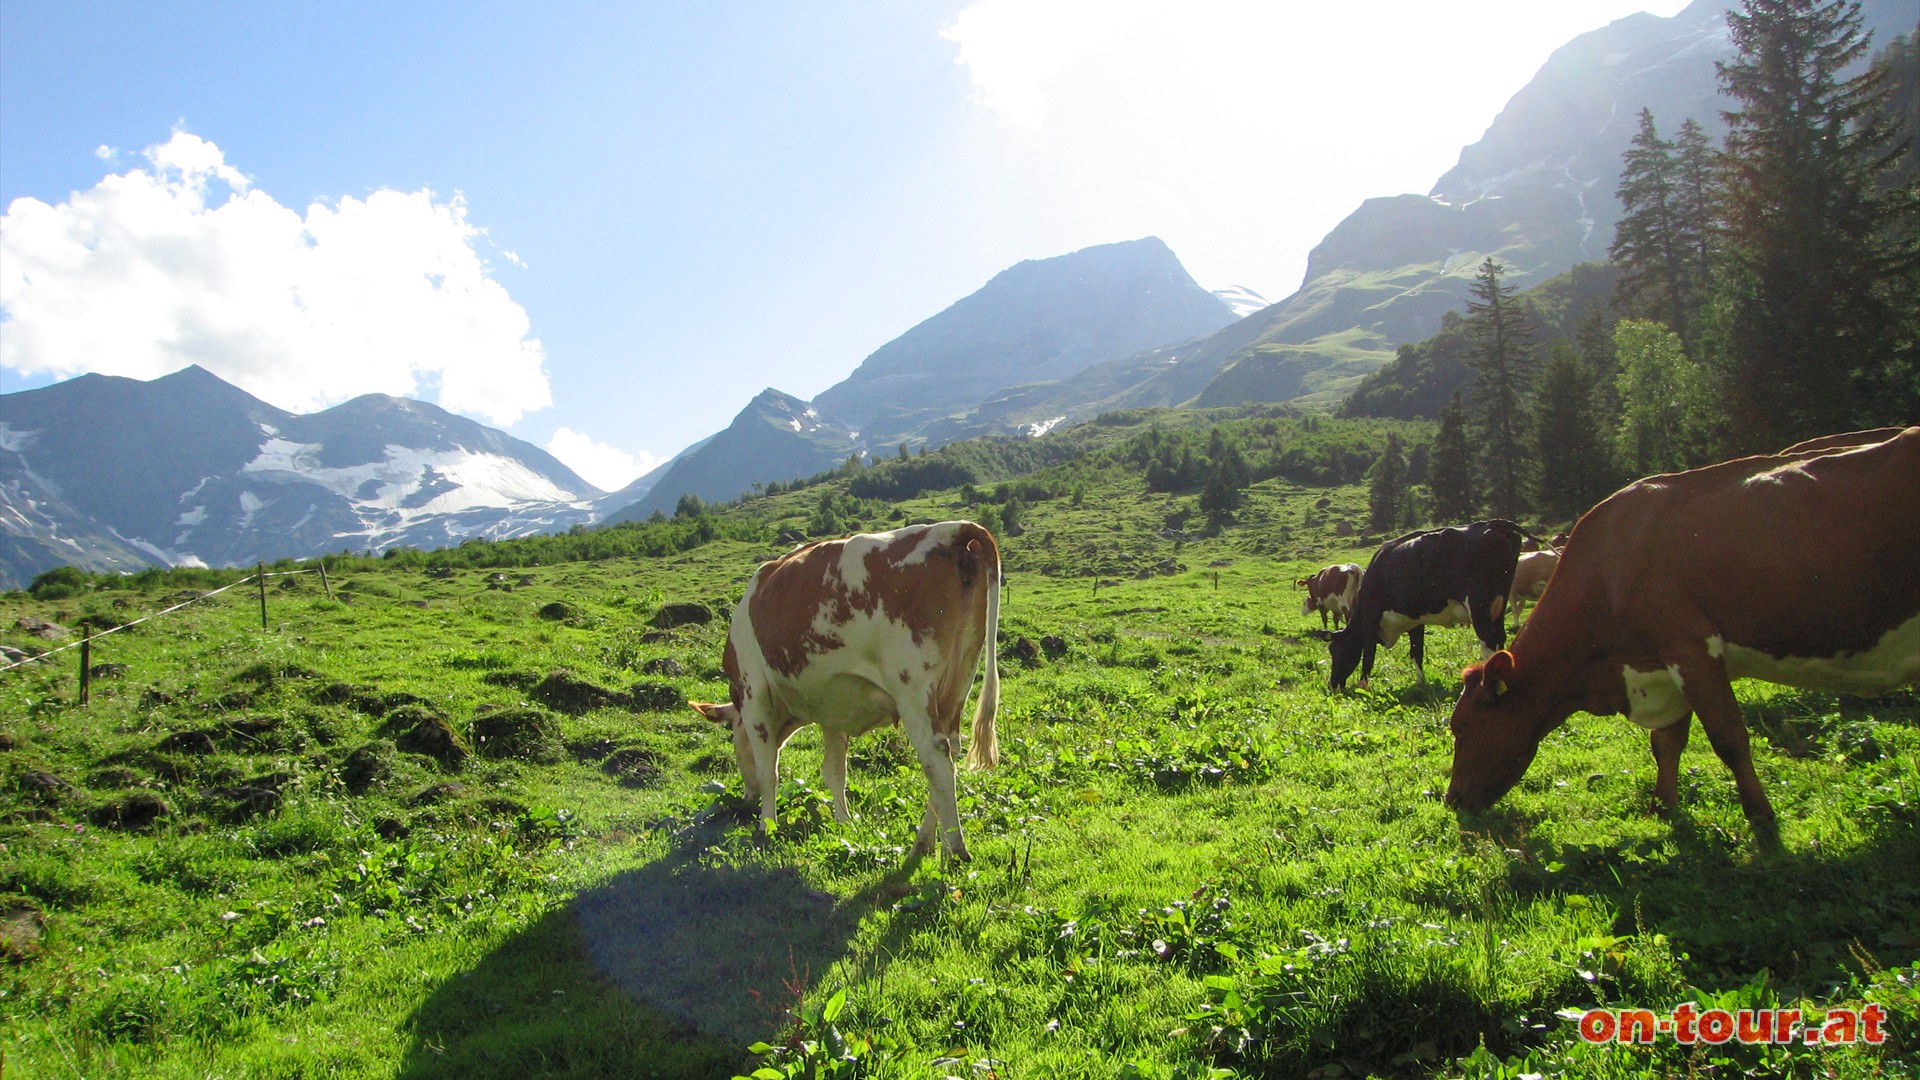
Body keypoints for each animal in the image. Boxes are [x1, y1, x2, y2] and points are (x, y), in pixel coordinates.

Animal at [695, 522, 1006, 857]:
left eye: (735, 742)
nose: (746, 801)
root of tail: (952, 529)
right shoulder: (833, 709)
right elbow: (834, 771)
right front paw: (843, 822)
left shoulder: (754, 695)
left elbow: (769, 771)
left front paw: (767, 826)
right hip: (958, 679)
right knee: (951, 753)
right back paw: (923, 844)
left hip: (913, 689)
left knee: (936, 759)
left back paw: (955, 850)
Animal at [1451, 426, 1920, 834]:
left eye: (1461, 726)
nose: (1451, 799)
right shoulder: (1662, 664)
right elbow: (1667, 742)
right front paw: (1663, 806)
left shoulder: (1690, 649)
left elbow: (1729, 739)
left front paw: (1761, 819)